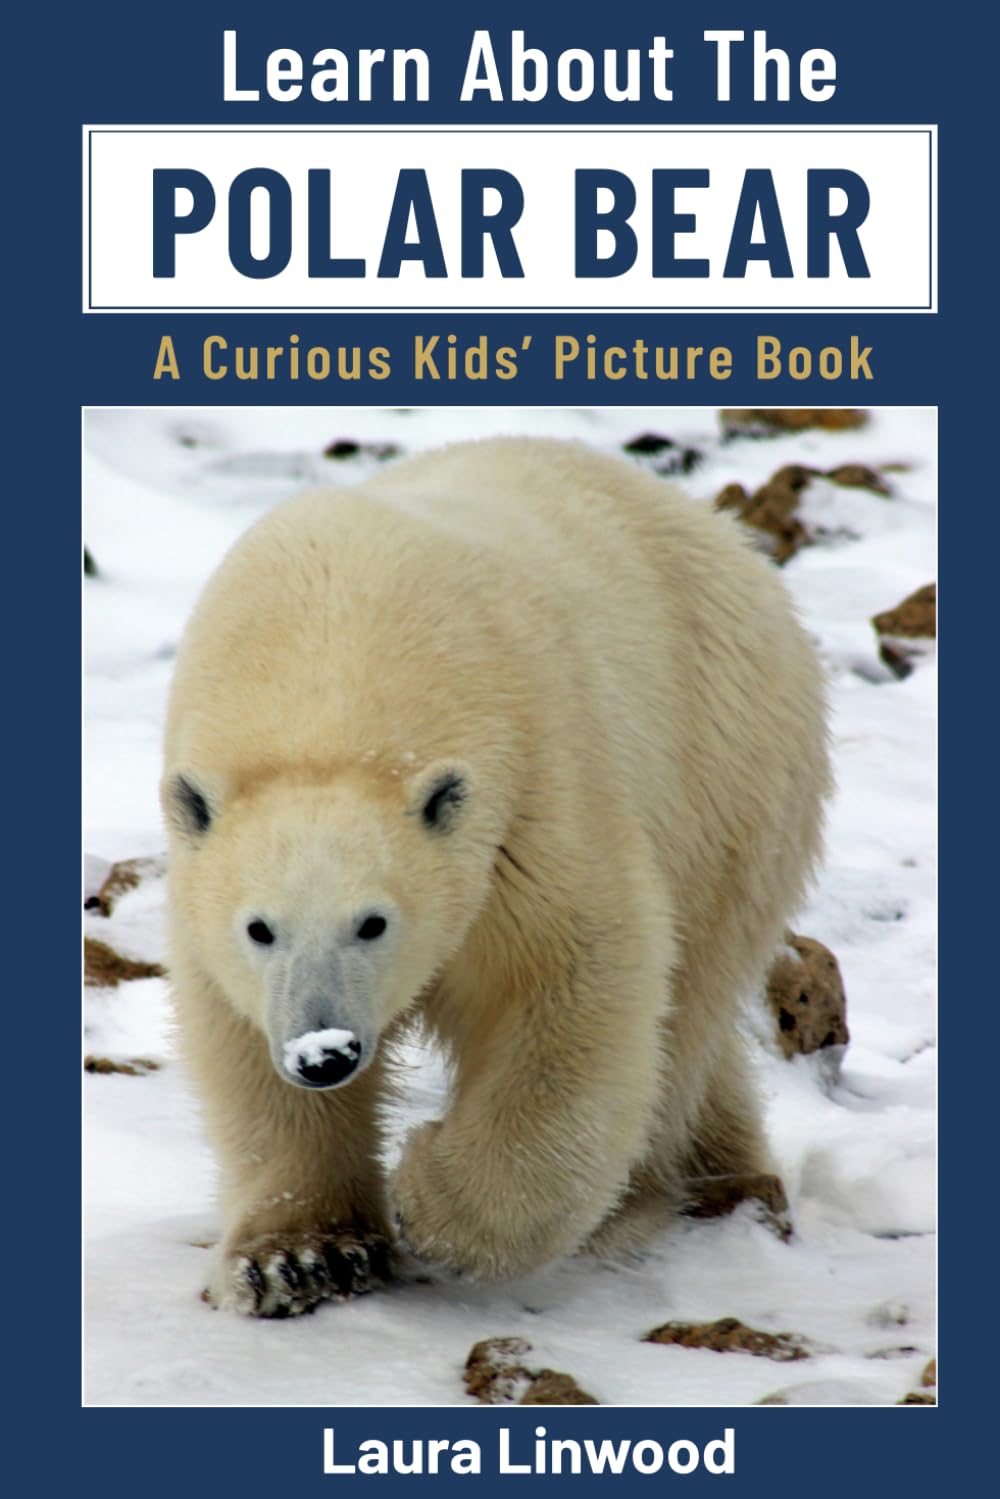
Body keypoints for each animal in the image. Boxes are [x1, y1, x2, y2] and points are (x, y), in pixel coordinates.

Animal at [161, 436, 830, 1317]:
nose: (324, 1052)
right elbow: (237, 1039)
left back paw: (648, 1196)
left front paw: (431, 1197)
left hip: (728, 775)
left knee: (687, 1005)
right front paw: (301, 1257)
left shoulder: (530, 800)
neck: (331, 670)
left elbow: (577, 977)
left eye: (374, 921)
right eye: (259, 927)